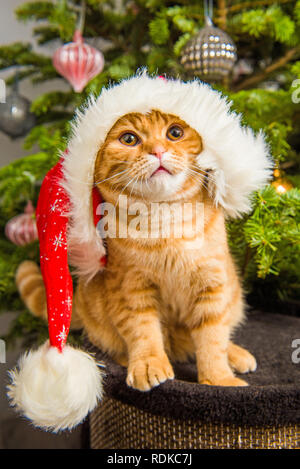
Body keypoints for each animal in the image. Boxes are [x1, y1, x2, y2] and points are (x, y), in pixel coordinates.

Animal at [16, 109, 256, 388]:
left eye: (175, 132)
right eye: (129, 139)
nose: (158, 151)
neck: (164, 222)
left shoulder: (212, 285)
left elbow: (213, 339)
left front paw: (219, 379)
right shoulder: (131, 287)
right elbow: (144, 331)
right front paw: (149, 364)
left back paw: (236, 355)